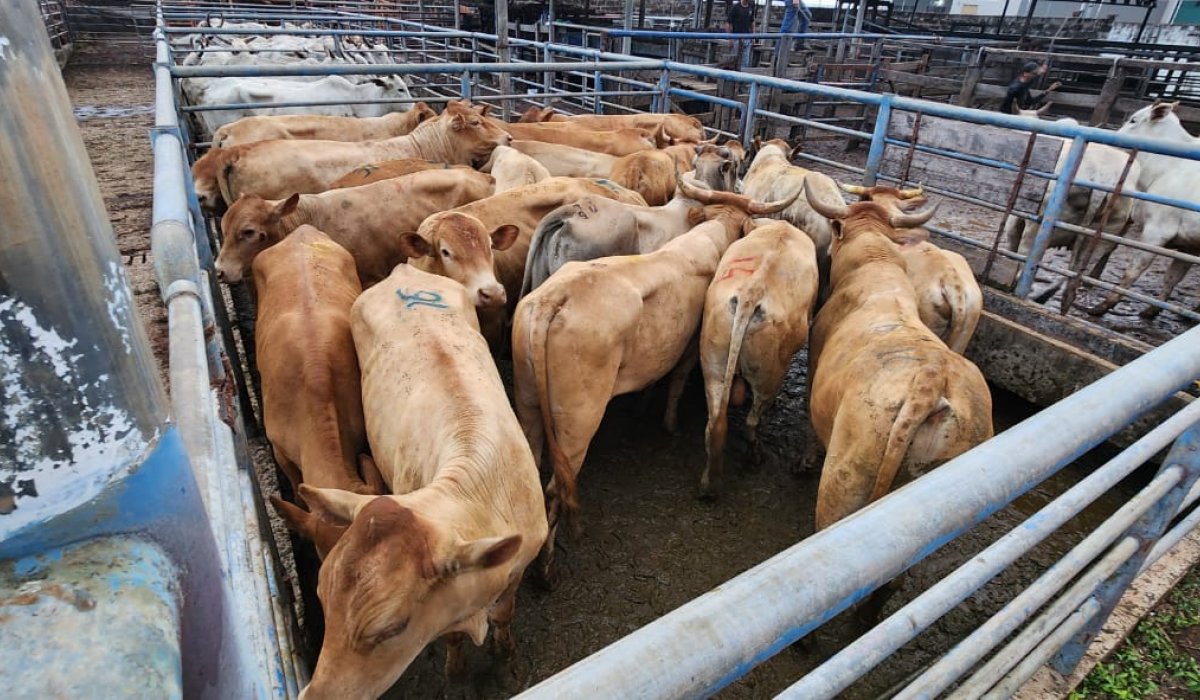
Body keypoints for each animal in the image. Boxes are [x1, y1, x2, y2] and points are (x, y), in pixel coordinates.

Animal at [295, 264, 548, 699]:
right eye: (321, 594)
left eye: (391, 628)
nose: (315, 694)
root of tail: (403, 271)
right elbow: (452, 639)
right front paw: (457, 676)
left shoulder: (520, 564)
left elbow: (504, 615)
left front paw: (506, 659)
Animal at [511, 177, 800, 581]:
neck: (709, 236)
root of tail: (554, 300)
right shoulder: (690, 350)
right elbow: (676, 383)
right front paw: (669, 422)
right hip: (577, 422)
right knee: (556, 488)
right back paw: (546, 570)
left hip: (527, 400)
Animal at [699, 219, 819, 498]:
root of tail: (750, 294)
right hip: (771, 372)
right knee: (753, 419)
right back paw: (755, 456)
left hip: (714, 362)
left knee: (715, 422)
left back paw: (709, 484)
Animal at [1089, 100, 1200, 318]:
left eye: (1134, 120)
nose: (1113, 137)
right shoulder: (1190, 246)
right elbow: (1172, 277)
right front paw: (1151, 311)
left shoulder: (1157, 230)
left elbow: (1133, 270)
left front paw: (1102, 307)